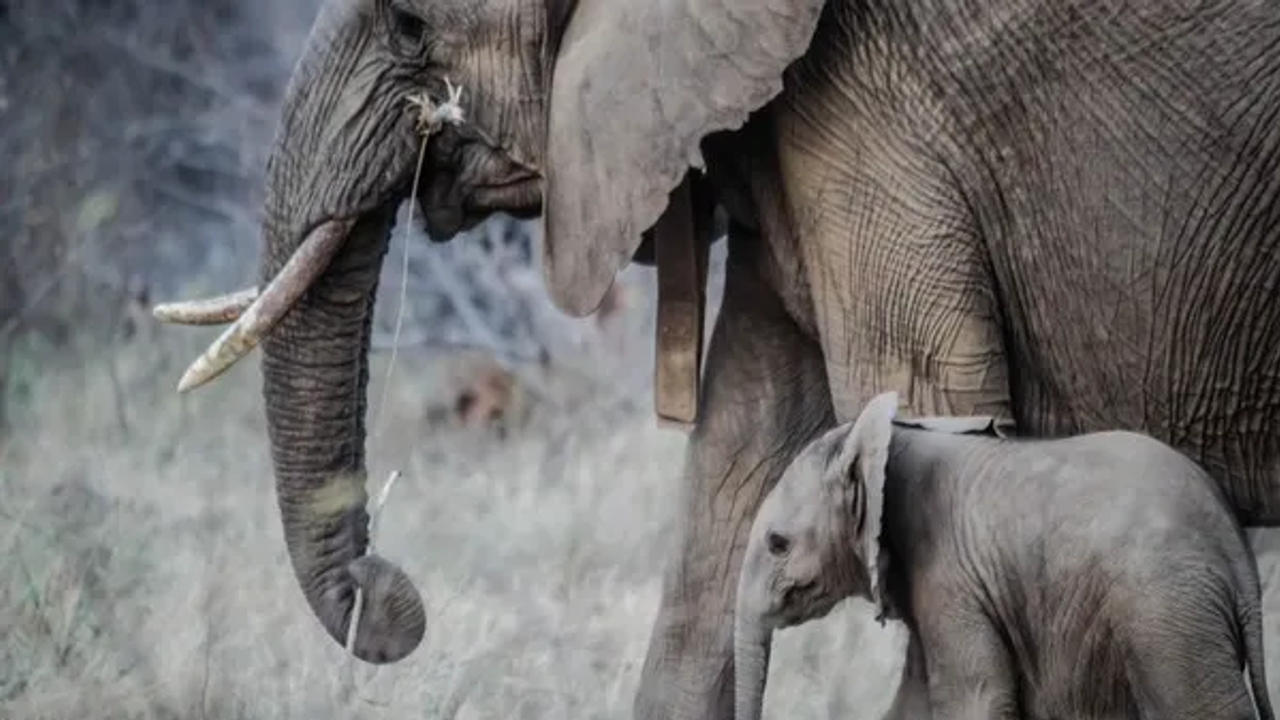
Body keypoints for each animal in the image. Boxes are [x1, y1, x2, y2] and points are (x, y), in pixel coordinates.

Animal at [737, 392, 1274, 717]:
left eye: (778, 543)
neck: (878, 438)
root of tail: (1236, 551)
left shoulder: (950, 573)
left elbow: (976, 695)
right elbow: (915, 700)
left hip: (1167, 612)